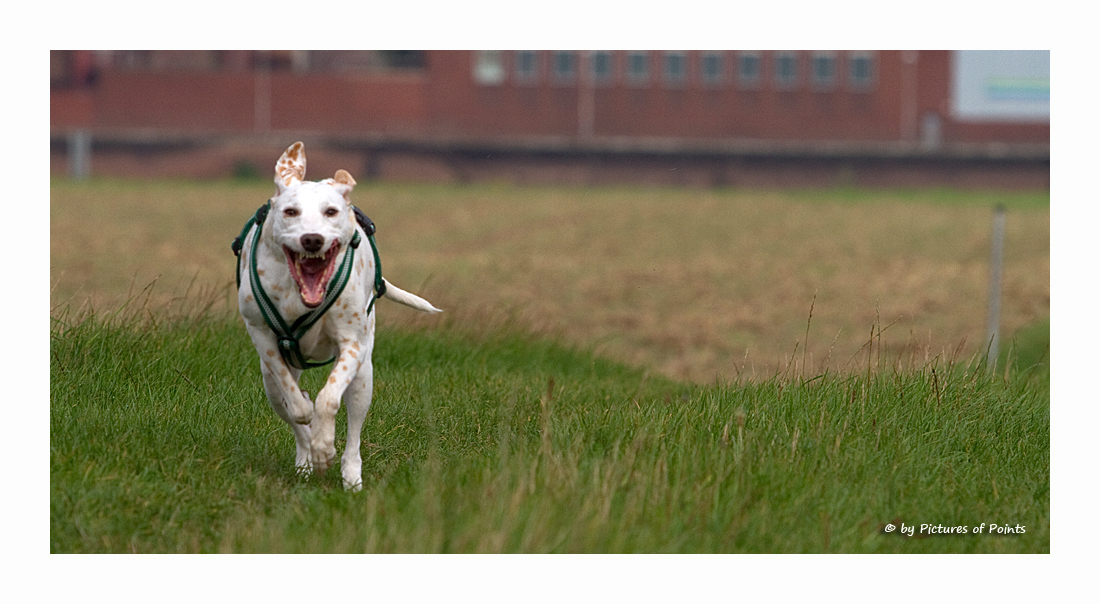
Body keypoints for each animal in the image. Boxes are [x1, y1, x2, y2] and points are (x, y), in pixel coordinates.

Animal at [234, 140, 440, 490]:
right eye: (290, 212)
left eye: (330, 212)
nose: (312, 239)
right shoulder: (262, 337)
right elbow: (298, 405)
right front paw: (313, 440)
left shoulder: (352, 346)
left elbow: (328, 399)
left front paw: (324, 446)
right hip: (268, 382)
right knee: (288, 406)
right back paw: (306, 459)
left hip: (364, 378)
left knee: (354, 428)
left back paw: (349, 474)